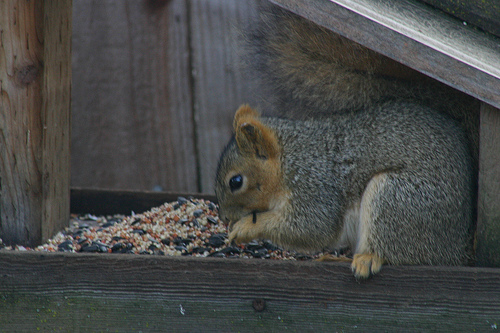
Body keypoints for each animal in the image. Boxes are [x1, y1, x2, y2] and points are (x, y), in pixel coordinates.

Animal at [214, 2, 476, 278]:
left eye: (236, 181)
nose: (225, 218)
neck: (289, 159)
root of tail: (456, 249)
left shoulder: (315, 187)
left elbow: (311, 227)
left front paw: (245, 228)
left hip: (397, 199)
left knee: (395, 250)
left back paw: (367, 259)